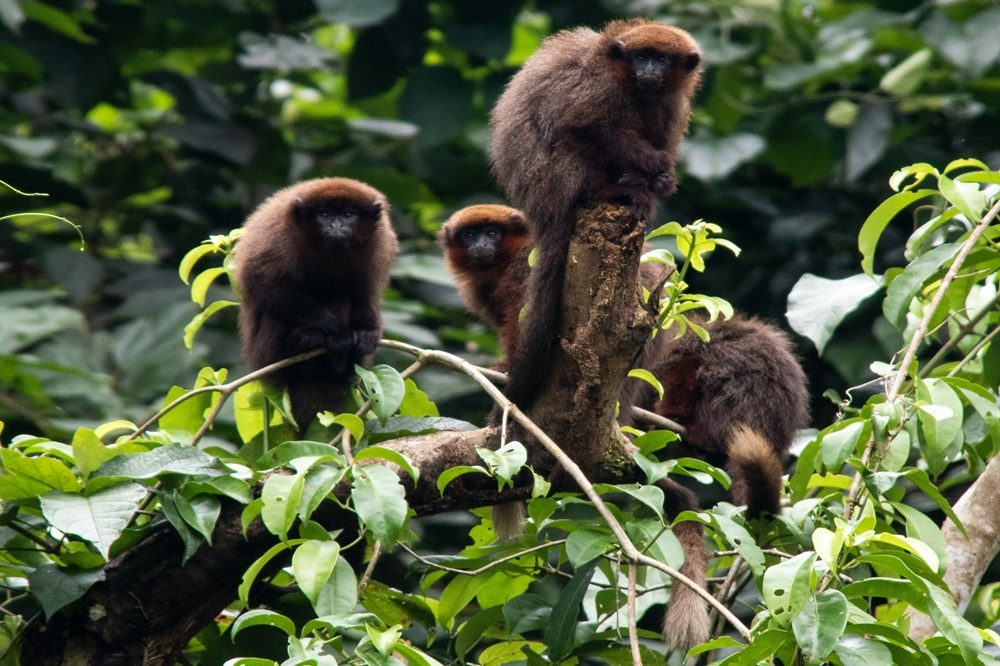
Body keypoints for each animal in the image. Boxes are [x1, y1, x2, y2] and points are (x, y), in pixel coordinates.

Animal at [235, 176, 398, 428]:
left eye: (348, 215)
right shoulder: (277, 232)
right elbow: (258, 279)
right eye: (324, 214)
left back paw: (343, 358)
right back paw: (302, 341)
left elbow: (366, 293)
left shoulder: (381, 243)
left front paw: (367, 332)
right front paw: (323, 321)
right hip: (264, 353)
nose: (336, 226)